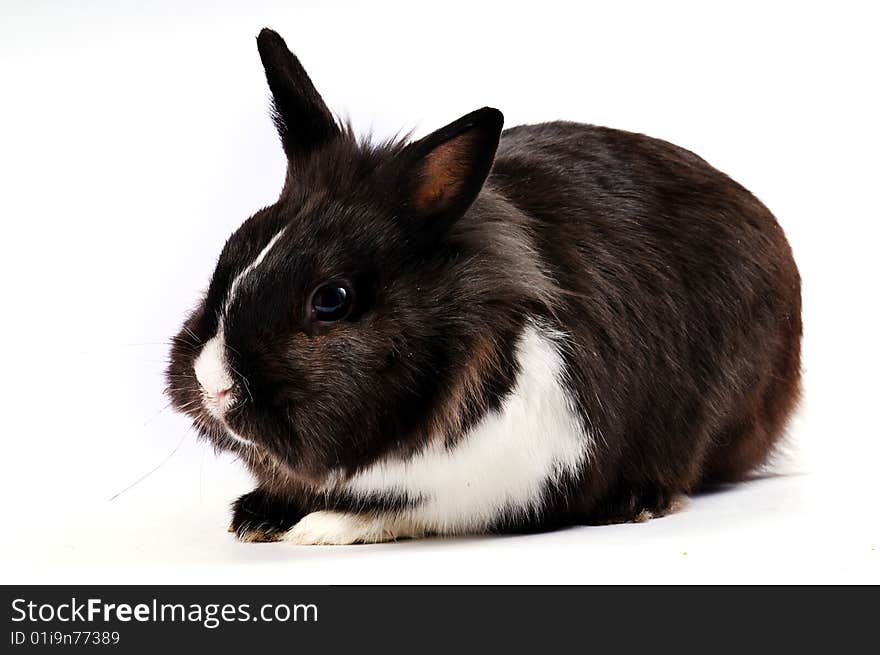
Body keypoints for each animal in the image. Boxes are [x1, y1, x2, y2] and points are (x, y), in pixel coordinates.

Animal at [167, 28, 804, 544]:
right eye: (230, 253)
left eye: (332, 299)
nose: (214, 386)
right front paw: (256, 516)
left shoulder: (518, 471)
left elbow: (407, 510)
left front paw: (320, 526)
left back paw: (635, 501)